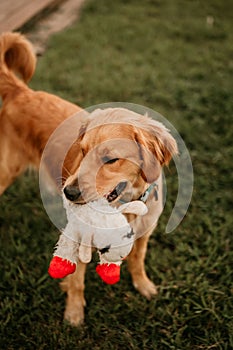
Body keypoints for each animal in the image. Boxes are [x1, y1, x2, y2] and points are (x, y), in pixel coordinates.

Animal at [0, 32, 177, 326]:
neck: (125, 207)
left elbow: (137, 261)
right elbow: (76, 280)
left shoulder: (145, 232)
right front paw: (74, 312)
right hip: (6, 170)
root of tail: (23, 92)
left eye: (110, 159)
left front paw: (143, 285)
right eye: (82, 151)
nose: (69, 193)